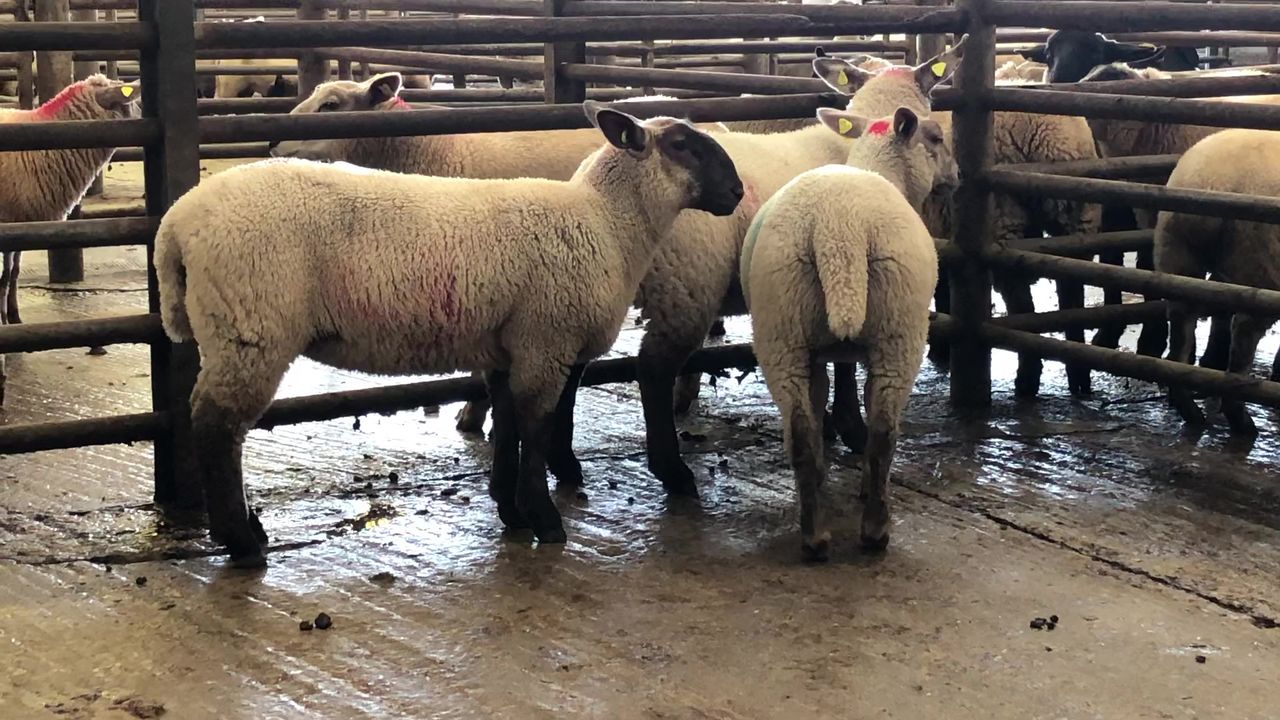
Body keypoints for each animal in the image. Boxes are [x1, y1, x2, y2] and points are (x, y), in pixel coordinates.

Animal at [153, 102, 743, 566]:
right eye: (682, 145)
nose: (738, 192)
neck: (607, 223)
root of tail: (175, 225)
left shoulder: (509, 345)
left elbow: (508, 423)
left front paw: (510, 511)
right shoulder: (545, 339)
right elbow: (537, 425)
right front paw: (545, 520)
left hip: (234, 327)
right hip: (253, 325)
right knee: (217, 427)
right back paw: (243, 543)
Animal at [742, 105, 955, 558]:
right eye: (935, 138)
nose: (956, 177)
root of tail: (838, 228)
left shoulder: (817, 353)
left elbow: (819, 405)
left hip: (782, 325)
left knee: (800, 432)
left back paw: (814, 536)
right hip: (899, 329)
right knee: (884, 433)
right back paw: (875, 531)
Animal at [817, 47, 1105, 398]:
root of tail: (1036, 127)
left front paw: (940, 350)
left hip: (1002, 222)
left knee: (1022, 303)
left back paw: (1027, 379)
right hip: (1077, 218)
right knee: (1072, 293)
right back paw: (1079, 378)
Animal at [1155, 128, 1280, 435]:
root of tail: (1212, 181)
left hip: (1178, 253)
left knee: (1180, 336)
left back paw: (1190, 410)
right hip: (1261, 263)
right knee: (1243, 336)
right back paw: (1242, 421)